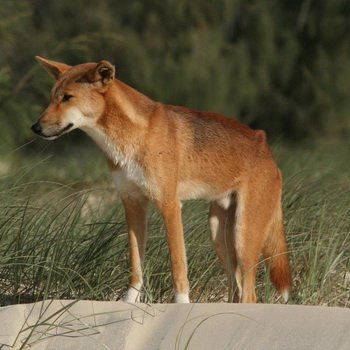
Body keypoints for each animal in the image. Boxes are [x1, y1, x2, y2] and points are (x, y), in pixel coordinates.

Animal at [32, 56, 292, 302]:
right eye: (51, 98)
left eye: (67, 97)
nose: (35, 127)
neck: (131, 137)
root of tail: (265, 146)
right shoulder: (133, 204)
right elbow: (136, 268)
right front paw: (128, 303)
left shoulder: (170, 205)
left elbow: (178, 268)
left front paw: (181, 306)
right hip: (219, 234)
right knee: (237, 290)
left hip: (243, 236)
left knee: (250, 294)